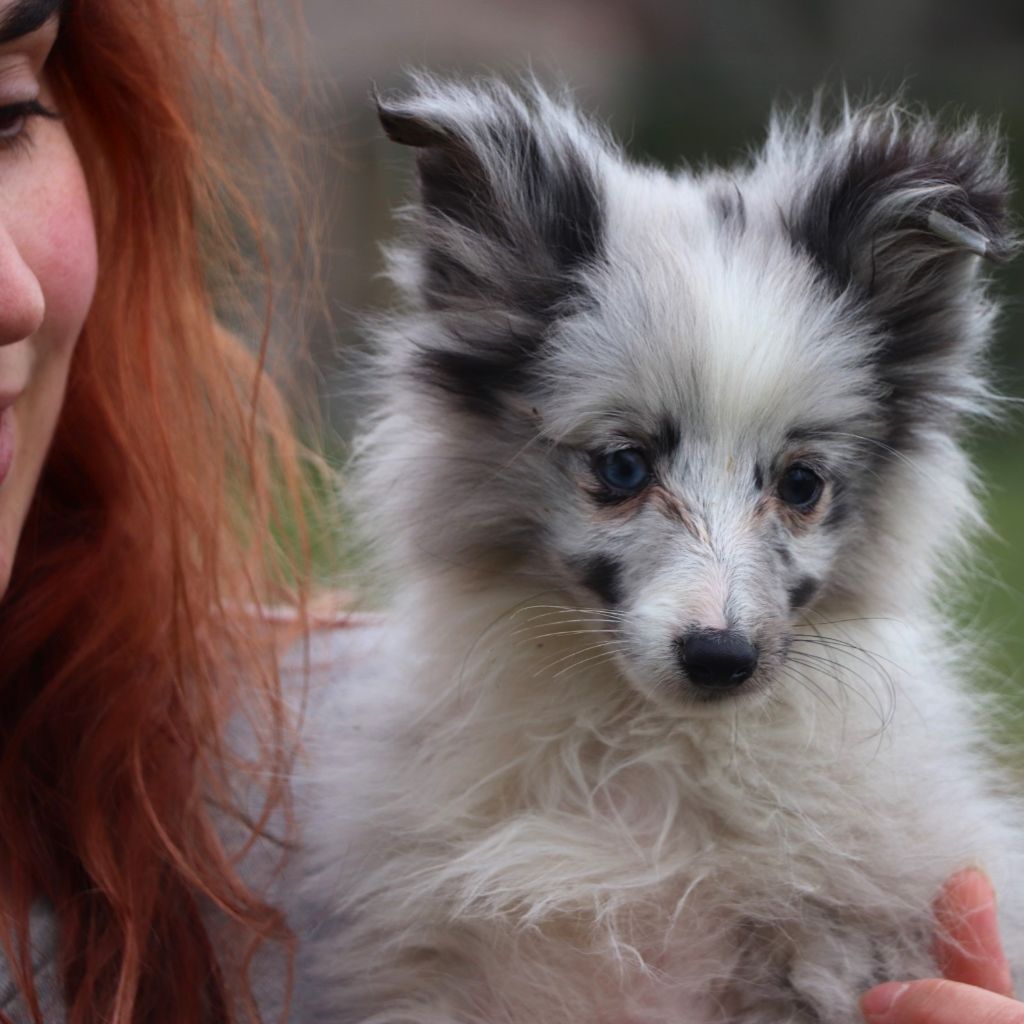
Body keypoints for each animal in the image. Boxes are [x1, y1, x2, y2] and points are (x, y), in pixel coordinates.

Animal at [301, 76, 1023, 1024]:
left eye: (801, 484)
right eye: (621, 466)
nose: (721, 658)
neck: (648, 753)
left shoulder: (840, 949)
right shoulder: (439, 970)